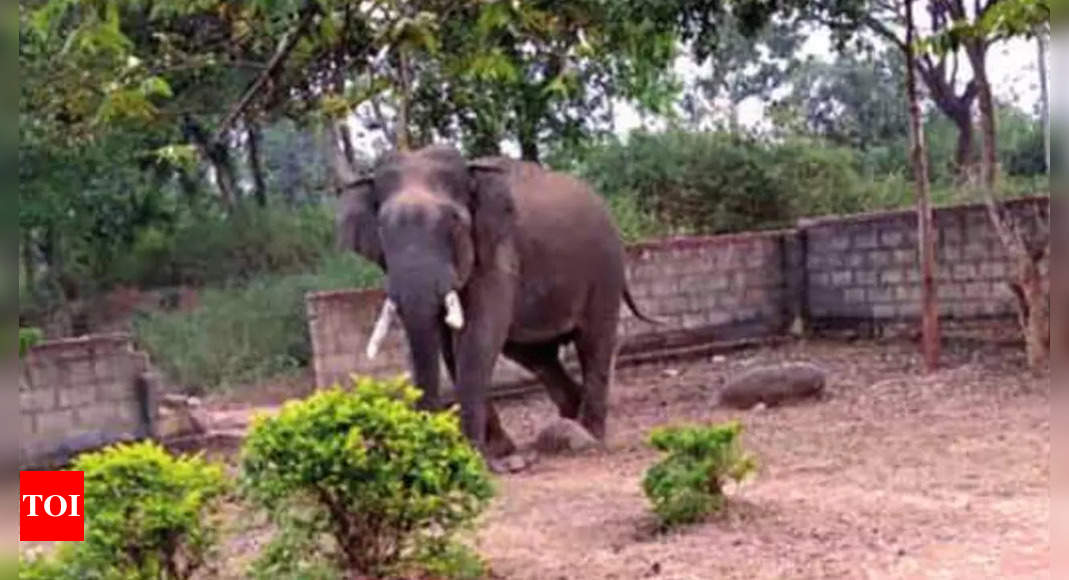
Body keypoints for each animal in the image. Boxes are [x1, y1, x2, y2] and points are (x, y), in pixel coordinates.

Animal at [333, 145, 654, 472]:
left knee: (593, 341)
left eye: (454, 221)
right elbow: (450, 348)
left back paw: (589, 434)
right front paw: (498, 452)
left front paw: (477, 456)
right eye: (382, 228)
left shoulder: (498, 253)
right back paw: (570, 420)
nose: (430, 448)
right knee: (535, 356)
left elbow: (477, 338)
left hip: (605, 270)